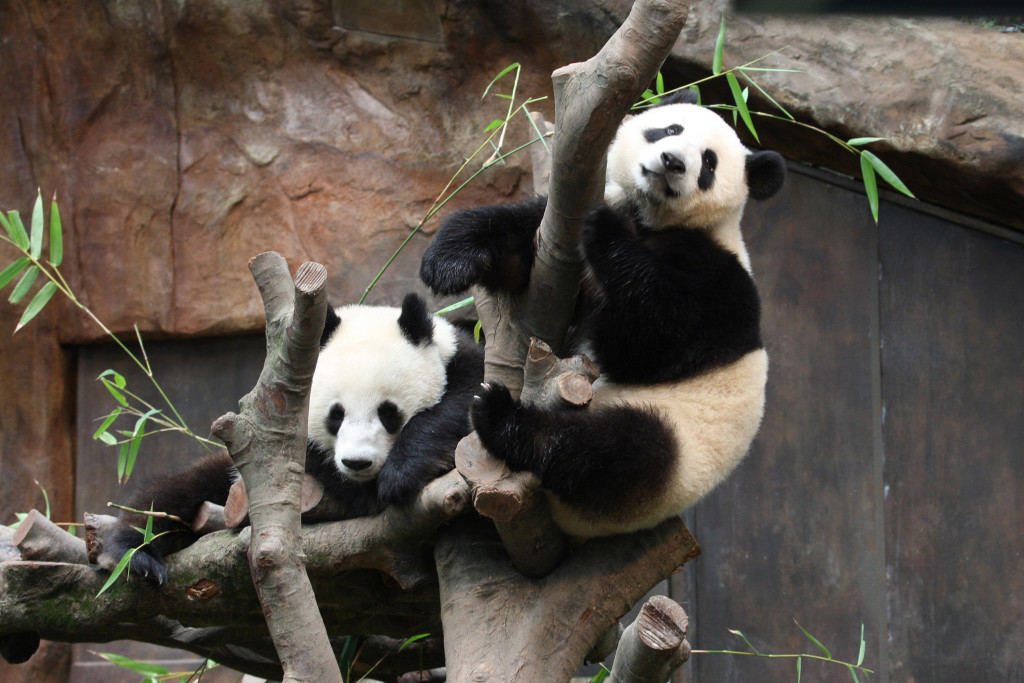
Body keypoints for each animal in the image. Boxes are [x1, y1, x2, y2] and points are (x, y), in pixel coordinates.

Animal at [99, 293, 483, 585]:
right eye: (335, 415)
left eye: (389, 413)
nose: (357, 463)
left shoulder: (467, 362)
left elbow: (464, 407)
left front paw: (400, 474)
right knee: (174, 493)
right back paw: (135, 555)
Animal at [419, 90, 785, 538]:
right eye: (670, 129)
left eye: (709, 163)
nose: (672, 162)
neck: (650, 218)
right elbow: (519, 246)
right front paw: (448, 260)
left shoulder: (719, 278)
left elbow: (651, 339)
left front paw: (606, 232)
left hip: (674, 446)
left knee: (613, 452)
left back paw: (502, 418)